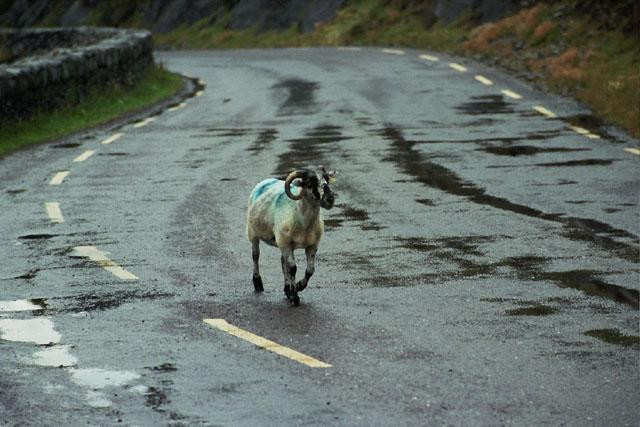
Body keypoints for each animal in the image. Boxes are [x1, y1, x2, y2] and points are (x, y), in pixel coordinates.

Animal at [246, 166, 338, 306]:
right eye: (309, 183)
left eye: (327, 179)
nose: (329, 199)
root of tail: (265, 181)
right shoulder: (287, 244)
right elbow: (293, 268)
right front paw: (295, 298)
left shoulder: (312, 245)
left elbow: (310, 270)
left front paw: (298, 287)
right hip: (253, 233)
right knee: (256, 256)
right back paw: (258, 284)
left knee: (282, 262)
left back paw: (286, 289)